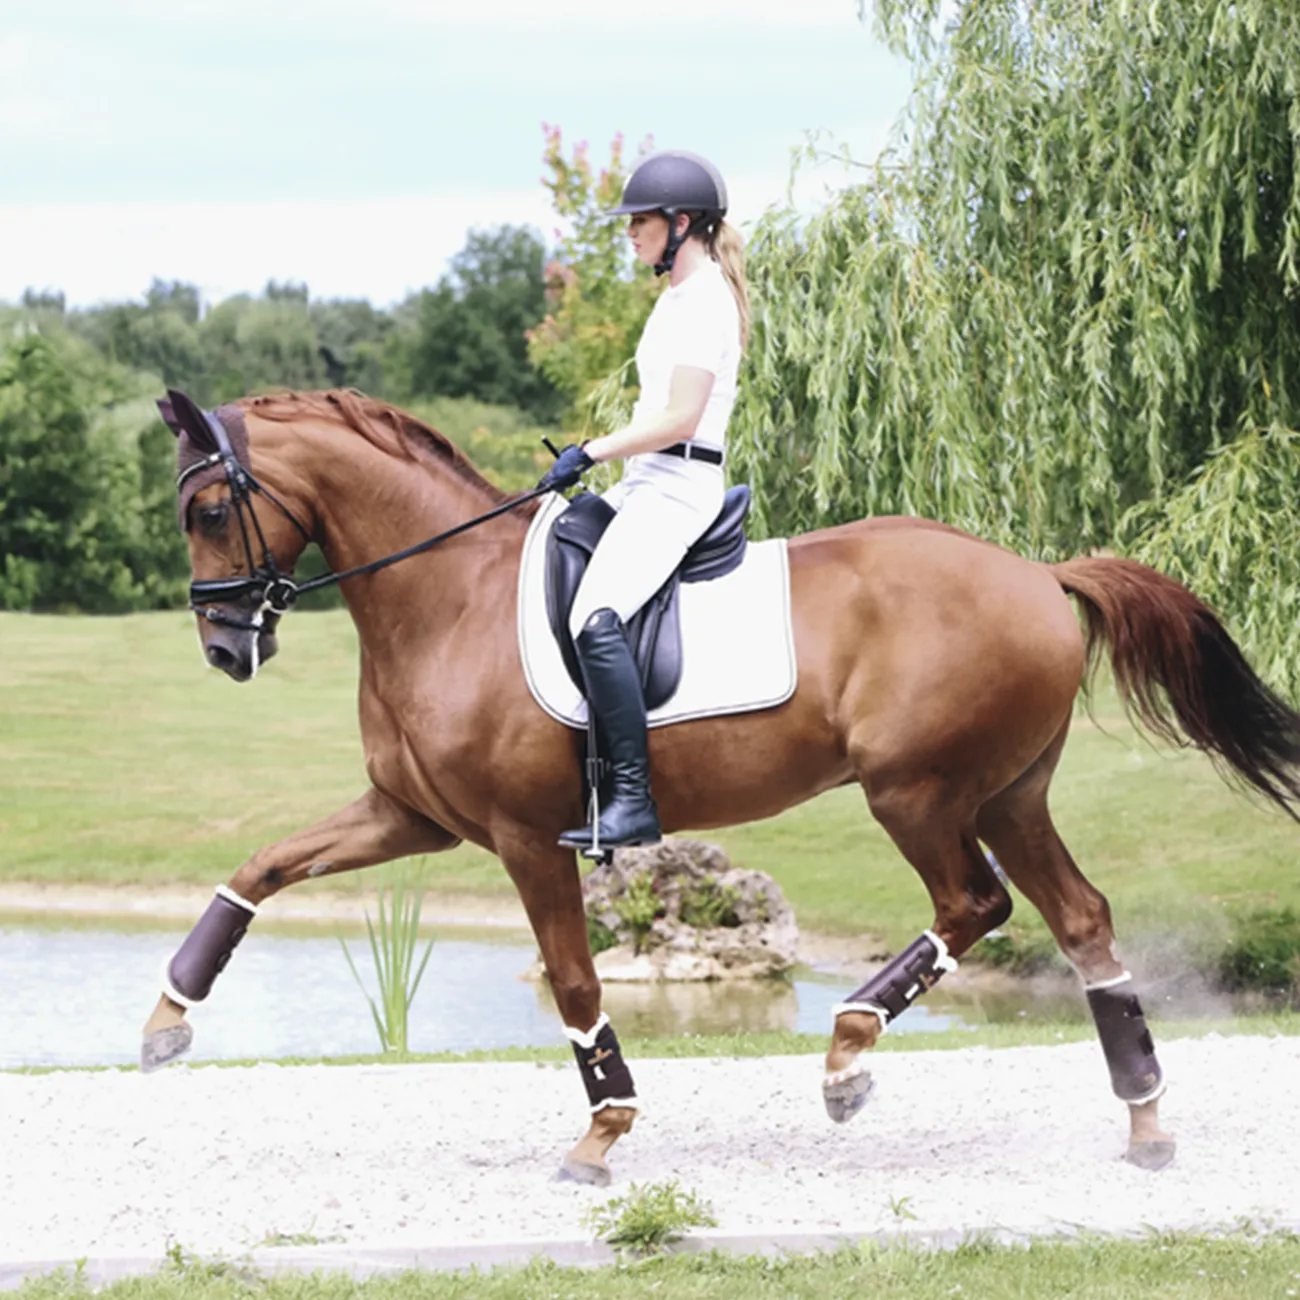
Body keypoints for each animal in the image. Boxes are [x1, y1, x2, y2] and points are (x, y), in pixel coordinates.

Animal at [142, 382, 1300, 1180]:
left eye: (209, 511)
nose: (224, 649)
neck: (448, 596)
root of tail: (1038, 572)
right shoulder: (410, 818)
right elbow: (265, 865)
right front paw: (167, 1018)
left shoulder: (525, 839)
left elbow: (575, 981)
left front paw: (602, 1132)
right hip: (1008, 795)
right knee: (1082, 920)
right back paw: (1145, 1119)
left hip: (916, 793)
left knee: (975, 903)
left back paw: (846, 1056)